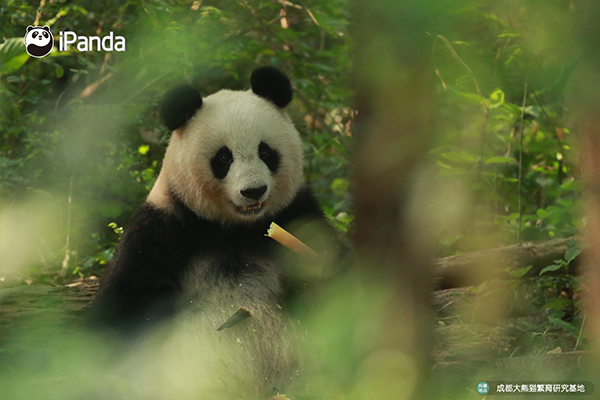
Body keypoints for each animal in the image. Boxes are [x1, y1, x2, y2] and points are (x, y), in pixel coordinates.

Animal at [89, 66, 336, 400]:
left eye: (265, 151)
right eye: (223, 157)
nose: (253, 190)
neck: (234, 228)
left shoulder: (295, 214)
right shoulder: (164, 227)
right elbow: (127, 305)